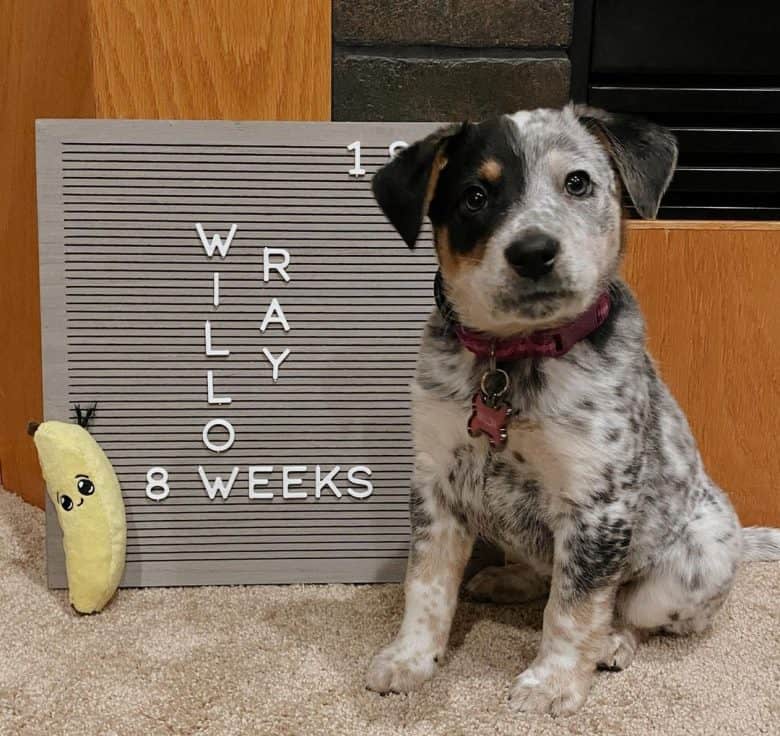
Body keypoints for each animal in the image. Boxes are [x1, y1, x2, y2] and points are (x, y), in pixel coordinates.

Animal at [366, 102, 780, 712]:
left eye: (578, 182)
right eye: (474, 196)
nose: (533, 251)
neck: (511, 360)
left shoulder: (596, 502)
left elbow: (573, 608)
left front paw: (552, 683)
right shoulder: (436, 483)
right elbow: (426, 586)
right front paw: (410, 659)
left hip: (685, 570)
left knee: (630, 612)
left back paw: (612, 643)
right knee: (541, 573)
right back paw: (508, 580)